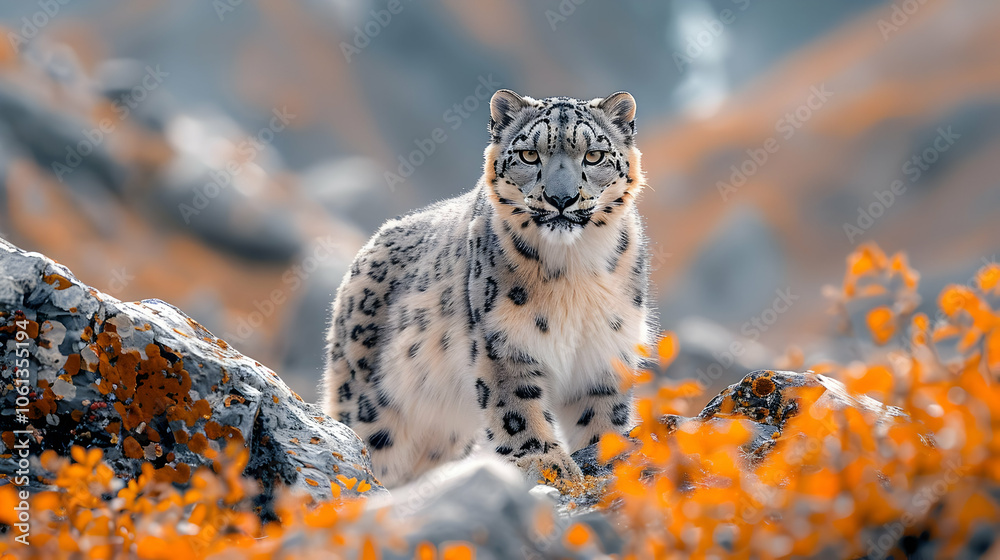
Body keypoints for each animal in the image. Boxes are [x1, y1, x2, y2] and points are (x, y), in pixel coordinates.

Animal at [322, 89, 654, 487]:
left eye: (594, 155)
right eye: (529, 154)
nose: (561, 199)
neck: (573, 270)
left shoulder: (605, 347)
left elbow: (602, 413)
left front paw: (608, 454)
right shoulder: (503, 342)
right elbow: (517, 408)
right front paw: (544, 462)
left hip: (442, 435)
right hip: (370, 404)